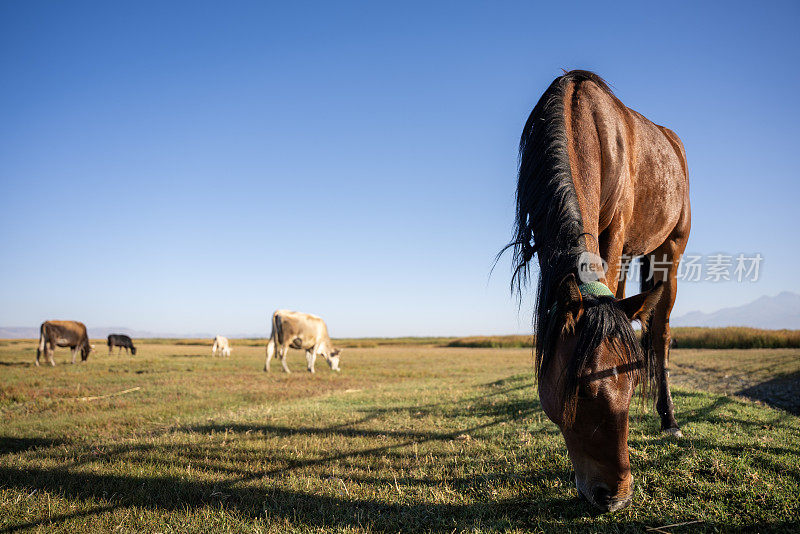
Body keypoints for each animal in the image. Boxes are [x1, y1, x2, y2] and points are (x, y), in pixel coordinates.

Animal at [510, 69, 692, 512]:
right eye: (584, 390)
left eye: (631, 386)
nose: (617, 497)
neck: (580, 121)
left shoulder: (618, 227)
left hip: (670, 250)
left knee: (659, 332)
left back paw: (669, 420)